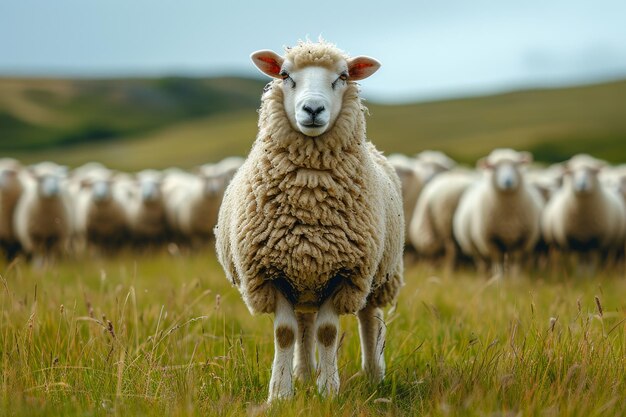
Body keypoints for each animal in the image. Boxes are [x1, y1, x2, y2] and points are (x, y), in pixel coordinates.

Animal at [213, 40, 400, 402]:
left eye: (342, 77)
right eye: (285, 75)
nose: (313, 109)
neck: (310, 194)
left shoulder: (346, 274)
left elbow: (327, 332)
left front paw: (328, 392)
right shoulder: (270, 275)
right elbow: (286, 333)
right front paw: (280, 395)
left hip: (378, 275)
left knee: (370, 318)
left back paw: (374, 376)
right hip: (305, 281)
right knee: (304, 324)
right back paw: (303, 374)